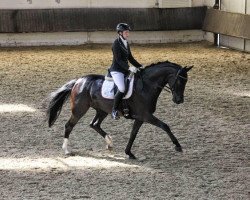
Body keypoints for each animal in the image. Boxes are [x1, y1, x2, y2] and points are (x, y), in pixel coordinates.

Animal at [46, 61, 192, 159]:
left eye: (186, 82)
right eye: (179, 81)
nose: (179, 100)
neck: (146, 86)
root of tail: (78, 81)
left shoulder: (140, 118)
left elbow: (133, 134)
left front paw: (129, 153)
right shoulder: (146, 115)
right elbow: (165, 126)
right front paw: (178, 146)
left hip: (102, 110)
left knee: (94, 124)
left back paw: (110, 143)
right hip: (79, 109)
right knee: (69, 125)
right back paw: (66, 150)